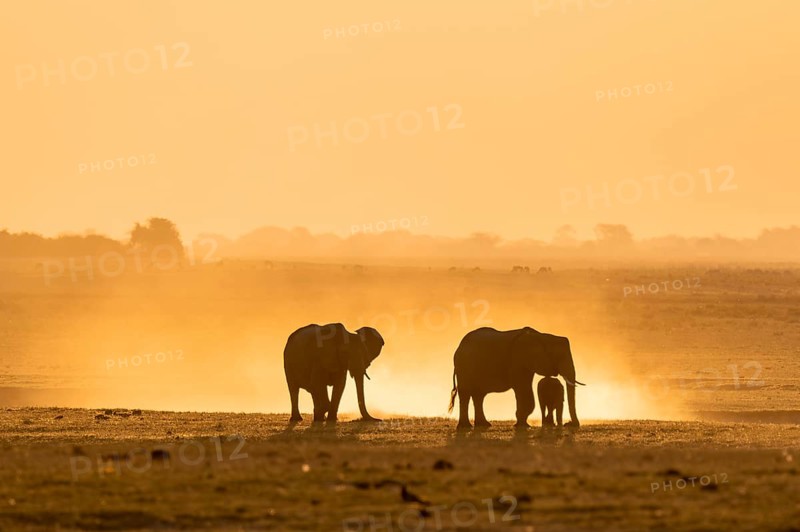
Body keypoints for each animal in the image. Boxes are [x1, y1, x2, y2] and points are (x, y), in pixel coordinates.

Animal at [447, 327, 584, 429]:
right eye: (560, 356)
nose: (569, 424)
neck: (542, 336)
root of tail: (458, 347)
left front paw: (523, 423)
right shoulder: (518, 360)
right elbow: (522, 389)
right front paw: (522, 425)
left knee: (478, 396)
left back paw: (484, 425)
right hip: (463, 367)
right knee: (466, 394)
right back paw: (465, 427)